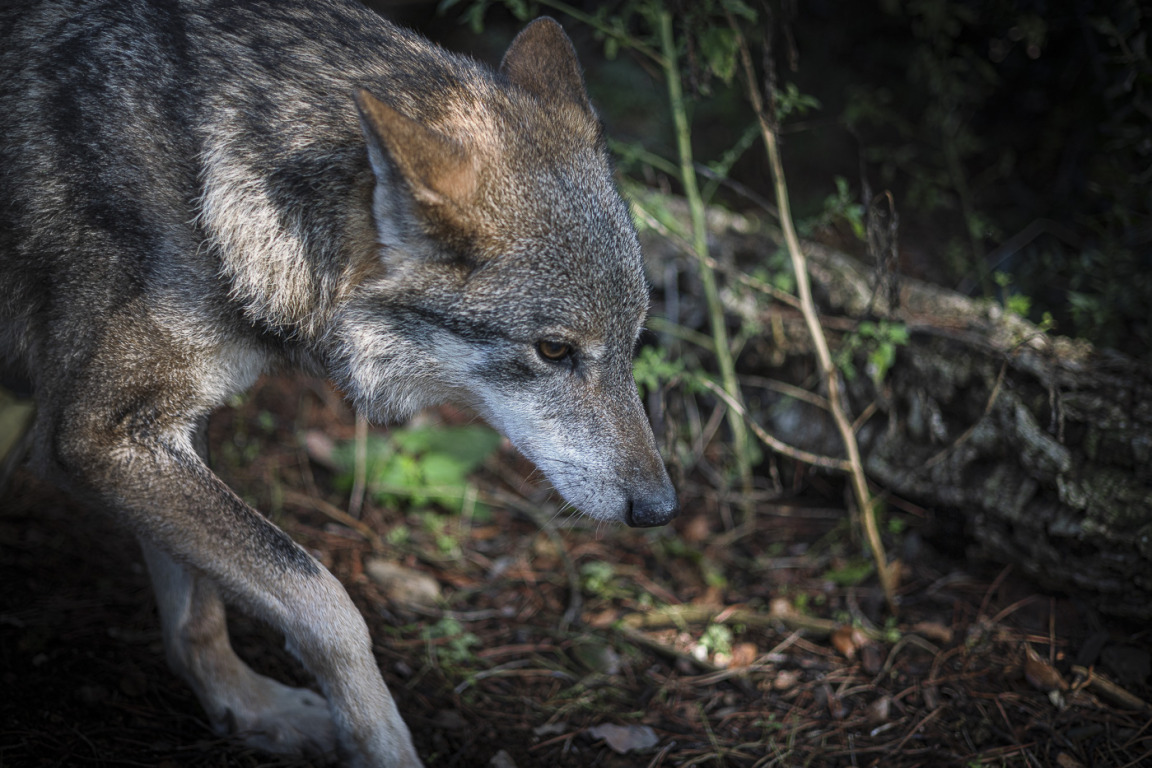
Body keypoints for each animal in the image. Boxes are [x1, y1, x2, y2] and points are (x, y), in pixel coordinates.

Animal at [0, 0, 677, 764]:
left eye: (633, 340)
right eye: (555, 350)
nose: (660, 509)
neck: (205, 174)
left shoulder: (163, 431)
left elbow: (197, 616)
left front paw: (246, 706)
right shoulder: (95, 436)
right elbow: (324, 600)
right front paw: (380, 741)